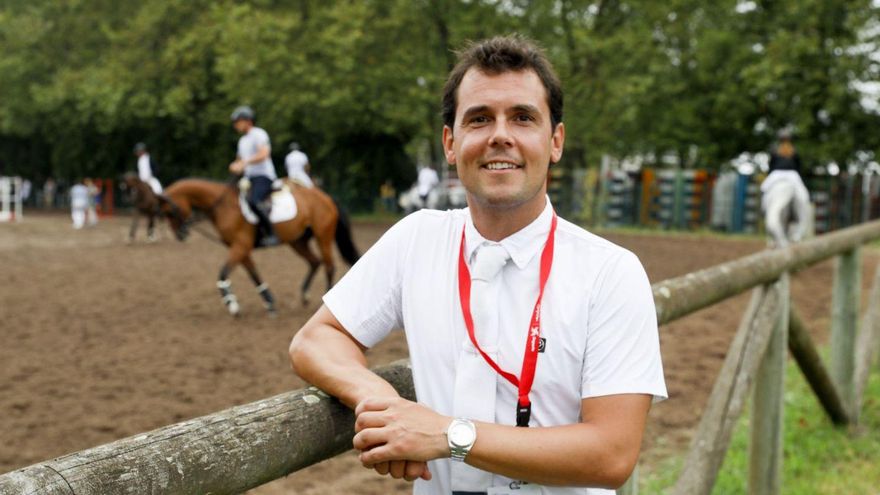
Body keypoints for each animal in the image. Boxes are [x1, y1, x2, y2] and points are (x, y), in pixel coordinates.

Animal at [157, 180, 358, 316]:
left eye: (169, 212)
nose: (181, 235)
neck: (224, 206)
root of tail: (326, 197)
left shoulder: (240, 246)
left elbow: (223, 273)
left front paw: (231, 304)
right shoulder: (241, 248)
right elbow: (254, 275)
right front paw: (269, 303)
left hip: (323, 236)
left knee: (329, 265)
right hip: (298, 241)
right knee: (315, 262)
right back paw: (305, 296)